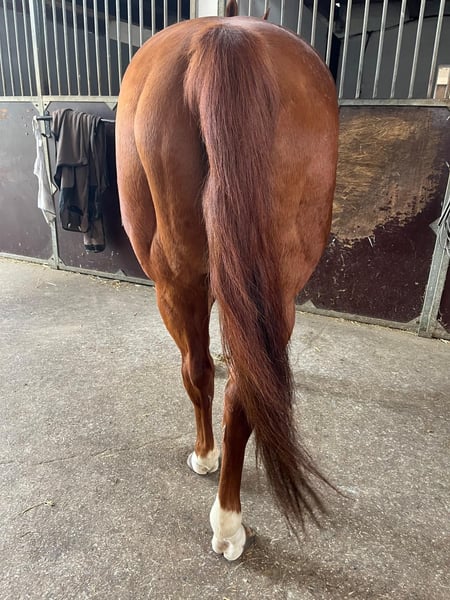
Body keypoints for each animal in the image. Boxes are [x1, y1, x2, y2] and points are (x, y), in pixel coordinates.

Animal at [115, 2, 339, 561]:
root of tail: (226, 38)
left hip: (174, 284)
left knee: (198, 372)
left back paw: (214, 482)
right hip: (276, 289)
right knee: (244, 388)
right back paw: (230, 518)